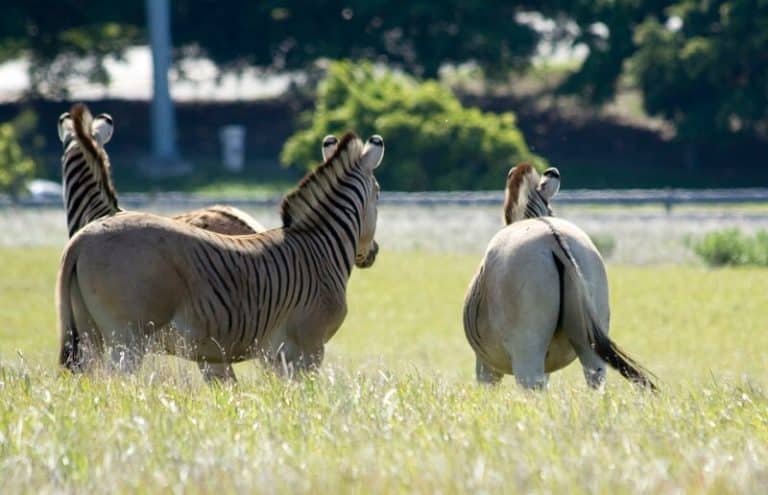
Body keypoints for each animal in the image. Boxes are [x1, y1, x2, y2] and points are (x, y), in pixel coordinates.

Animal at [57, 132, 384, 382]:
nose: (373, 253)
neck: (319, 247)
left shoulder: (277, 355)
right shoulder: (308, 349)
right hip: (126, 340)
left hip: (90, 336)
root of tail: (82, 238)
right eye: (379, 194)